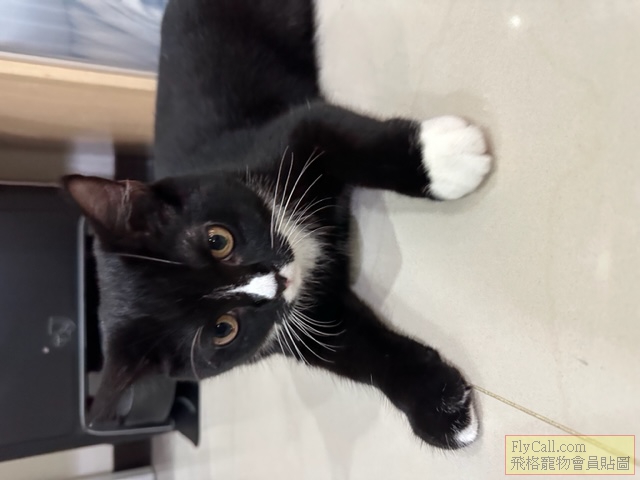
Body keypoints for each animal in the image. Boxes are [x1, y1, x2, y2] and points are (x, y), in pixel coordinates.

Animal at [63, 0, 491, 449]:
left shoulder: (293, 131)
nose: (278, 279)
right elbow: (354, 350)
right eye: (223, 329)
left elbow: (355, 141)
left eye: (218, 239)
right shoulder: (289, 325)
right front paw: (438, 406)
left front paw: (446, 160)